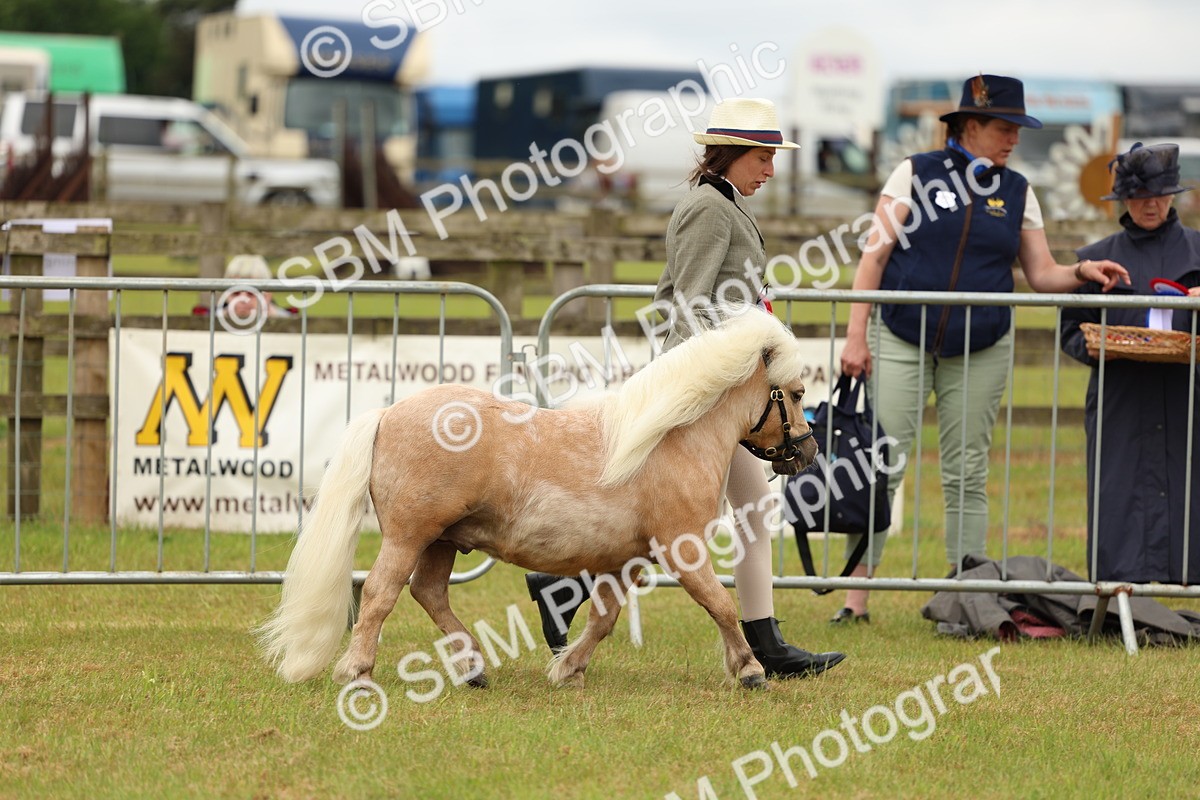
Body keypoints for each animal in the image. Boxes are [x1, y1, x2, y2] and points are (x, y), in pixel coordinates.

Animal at [257, 307, 819, 690]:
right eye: (794, 394)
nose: (808, 451)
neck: (670, 439)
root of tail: (388, 414)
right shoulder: (683, 549)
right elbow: (721, 604)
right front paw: (750, 670)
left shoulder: (626, 560)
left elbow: (603, 619)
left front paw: (567, 667)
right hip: (409, 535)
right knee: (379, 594)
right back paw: (358, 670)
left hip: (441, 541)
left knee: (430, 593)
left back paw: (473, 668)